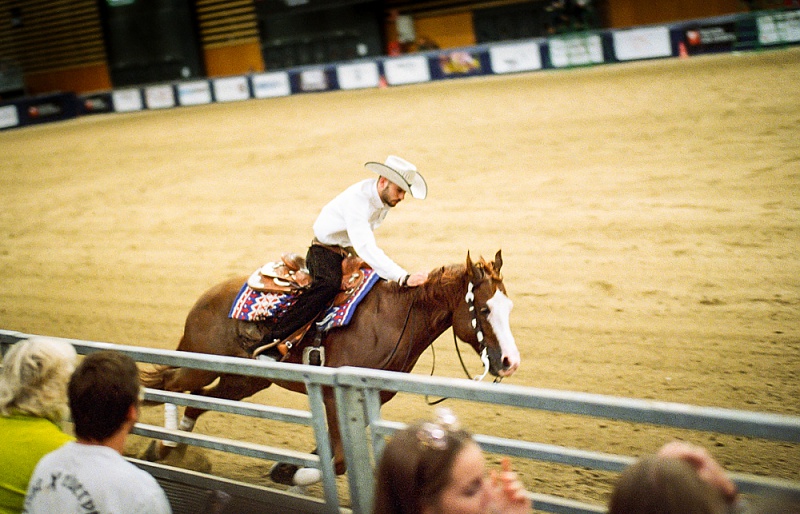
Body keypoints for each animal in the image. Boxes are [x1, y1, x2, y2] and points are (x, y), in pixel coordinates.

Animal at [139, 250, 520, 485]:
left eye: (509, 306)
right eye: (484, 309)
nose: (509, 362)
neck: (394, 318)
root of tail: (206, 296)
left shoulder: (366, 399)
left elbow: (338, 452)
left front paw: (286, 468)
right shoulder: (334, 396)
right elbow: (338, 461)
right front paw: (289, 473)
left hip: (246, 380)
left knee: (198, 399)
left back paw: (170, 449)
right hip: (202, 365)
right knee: (173, 382)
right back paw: (163, 446)